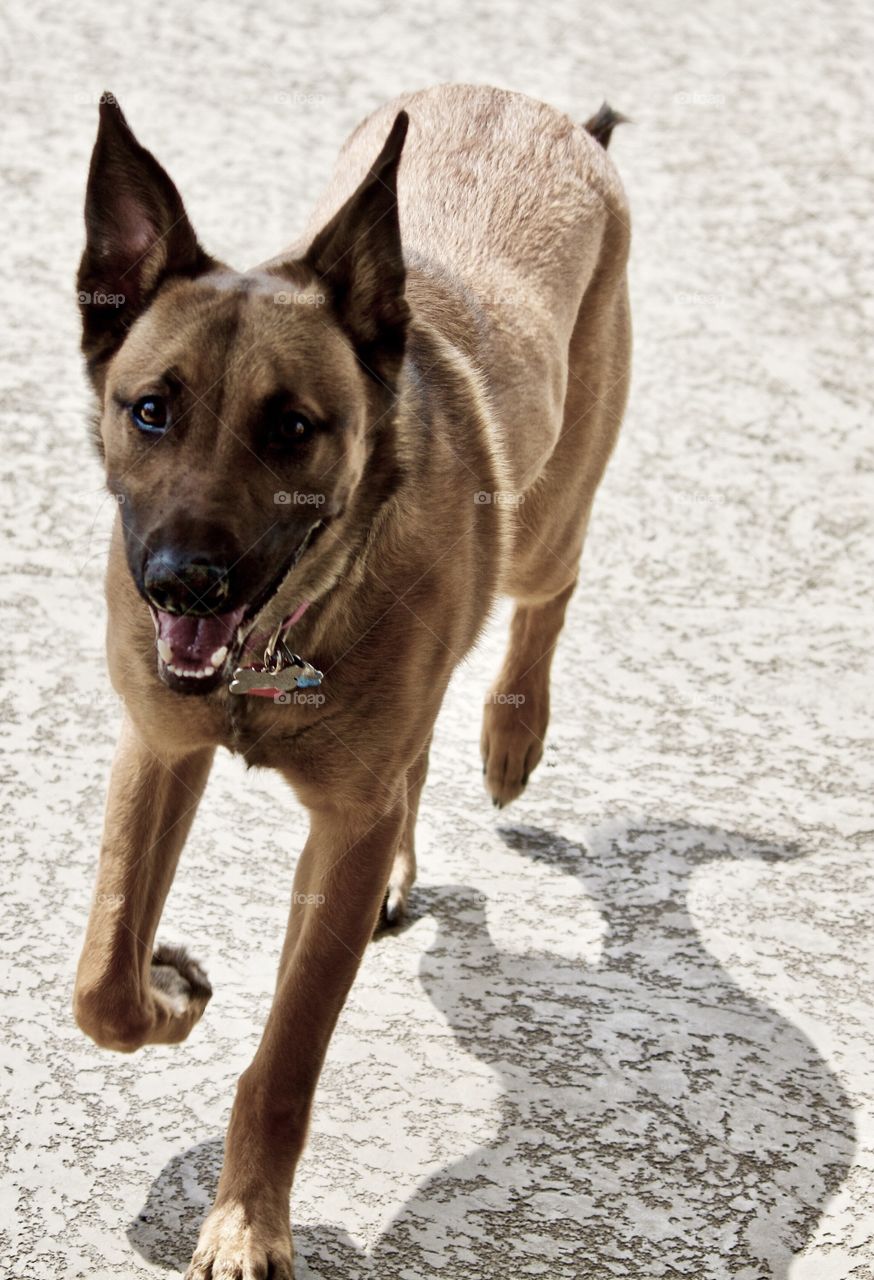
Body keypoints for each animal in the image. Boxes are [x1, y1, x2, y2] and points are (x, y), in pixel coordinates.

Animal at [70, 85, 629, 1274]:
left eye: (291, 428)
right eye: (151, 410)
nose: (182, 581)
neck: (285, 633)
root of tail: (532, 106)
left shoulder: (339, 830)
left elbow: (286, 1062)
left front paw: (247, 1222)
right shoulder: (161, 748)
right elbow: (102, 978)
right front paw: (168, 991)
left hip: (547, 516)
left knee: (548, 589)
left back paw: (512, 734)